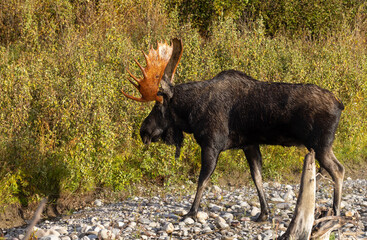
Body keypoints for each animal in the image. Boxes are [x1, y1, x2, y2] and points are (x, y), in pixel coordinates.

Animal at [123, 38, 344, 221]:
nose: (143, 131)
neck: (190, 112)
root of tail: (340, 104)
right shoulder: (249, 144)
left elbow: (202, 180)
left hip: (320, 144)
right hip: (322, 146)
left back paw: (336, 210)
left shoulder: (211, 144)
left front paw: (191, 212)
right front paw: (264, 213)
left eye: (158, 106)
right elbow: (257, 178)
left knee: (338, 170)